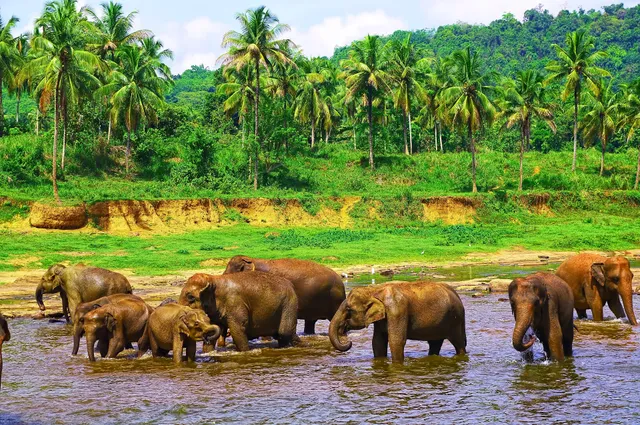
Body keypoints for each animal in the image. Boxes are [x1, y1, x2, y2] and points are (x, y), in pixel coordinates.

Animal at [329, 281, 467, 363]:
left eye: (349, 309)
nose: (348, 341)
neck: (375, 290)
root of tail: (457, 295)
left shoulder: (397, 310)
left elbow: (396, 341)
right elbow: (378, 342)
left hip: (455, 320)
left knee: (458, 343)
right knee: (434, 343)